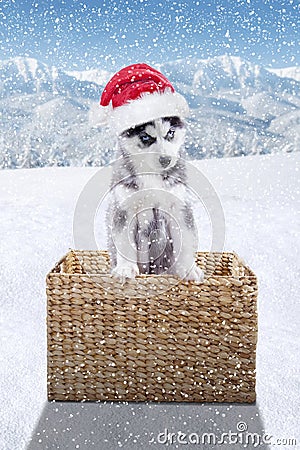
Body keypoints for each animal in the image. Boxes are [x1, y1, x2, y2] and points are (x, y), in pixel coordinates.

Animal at [106, 114, 204, 284]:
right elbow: (124, 243)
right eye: (145, 137)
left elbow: (185, 239)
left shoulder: (179, 206)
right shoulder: (124, 208)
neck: (152, 174)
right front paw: (125, 269)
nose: (166, 160)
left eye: (170, 133)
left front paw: (188, 269)